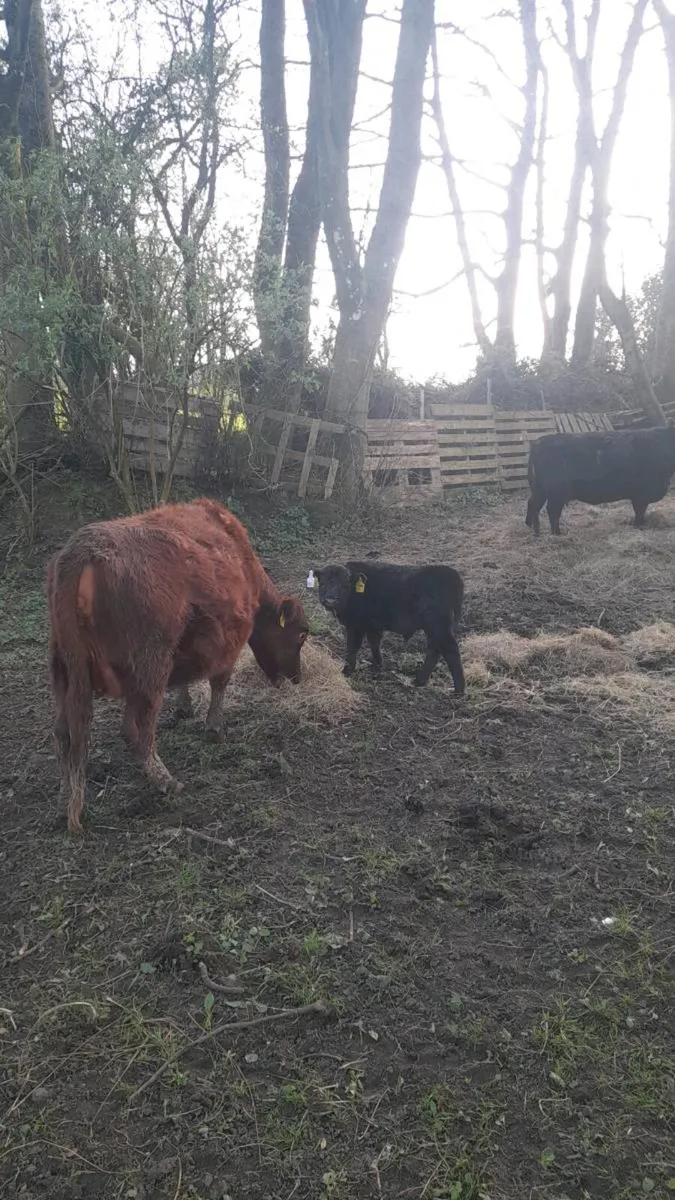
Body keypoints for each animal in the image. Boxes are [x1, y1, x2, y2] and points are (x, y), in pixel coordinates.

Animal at [47, 498, 309, 833]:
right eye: (301, 634)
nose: (296, 677)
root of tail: (83, 551)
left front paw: (185, 707)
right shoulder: (230, 641)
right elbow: (219, 682)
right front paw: (215, 728)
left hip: (64, 669)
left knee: (65, 735)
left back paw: (63, 803)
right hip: (149, 666)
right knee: (136, 729)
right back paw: (165, 781)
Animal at [314, 560, 465, 696]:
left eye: (345, 585)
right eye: (322, 583)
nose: (330, 600)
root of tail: (451, 574)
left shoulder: (355, 625)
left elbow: (353, 646)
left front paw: (347, 670)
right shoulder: (372, 625)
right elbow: (374, 643)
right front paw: (377, 666)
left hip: (439, 626)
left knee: (451, 651)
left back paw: (459, 690)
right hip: (434, 630)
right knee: (435, 649)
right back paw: (419, 680)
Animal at [525, 426, 675, 535]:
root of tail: (538, 442)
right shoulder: (641, 493)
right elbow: (639, 511)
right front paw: (639, 526)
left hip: (540, 489)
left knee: (533, 504)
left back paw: (535, 530)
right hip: (557, 492)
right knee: (551, 510)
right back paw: (557, 533)